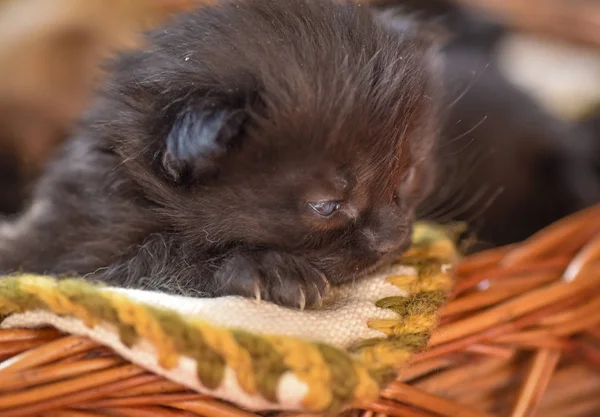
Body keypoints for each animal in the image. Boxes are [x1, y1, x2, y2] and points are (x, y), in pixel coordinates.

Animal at [0, 0, 440, 308]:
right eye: (326, 206)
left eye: (408, 176)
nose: (393, 240)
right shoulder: (78, 255)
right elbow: (159, 256)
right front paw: (266, 268)